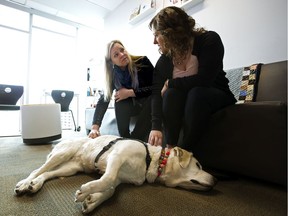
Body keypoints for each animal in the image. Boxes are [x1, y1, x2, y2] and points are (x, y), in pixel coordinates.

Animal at [14, 134, 216, 213]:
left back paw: (34, 185)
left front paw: (93, 200)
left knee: (47, 174)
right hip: (62, 153)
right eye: (198, 164)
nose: (215, 180)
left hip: (70, 168)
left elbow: (110, 188)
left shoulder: (120, 177)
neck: (151, 160)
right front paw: (85, 192)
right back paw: (24, 183)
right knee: (37, 170)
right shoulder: (117, 157)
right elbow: (107, 179)